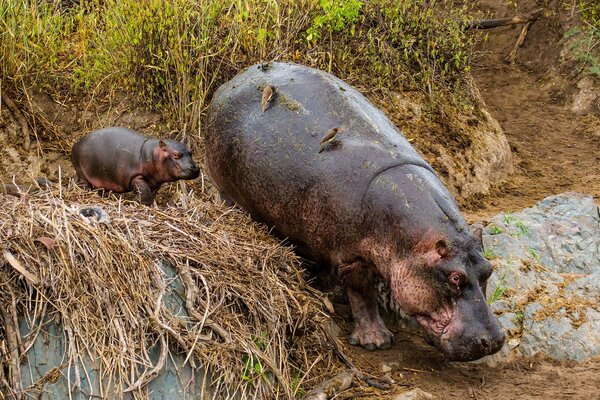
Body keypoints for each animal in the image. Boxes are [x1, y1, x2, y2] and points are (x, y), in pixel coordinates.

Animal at [71, 126, 200, 205]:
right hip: (82, 173)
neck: (152, 154)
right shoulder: (136, 177)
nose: (195, 168)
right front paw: (136, 202)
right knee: (84, 185)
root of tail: (76, 143)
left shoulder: (155, 182)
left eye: (191, 151)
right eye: (175, 154)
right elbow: (144, 192)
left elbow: (151, 195)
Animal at [204, 62, 504, 362]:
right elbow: (362, 294)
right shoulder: (352, 257)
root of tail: (232, 81)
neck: (415, 244)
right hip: (227, 192)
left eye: (488, 270)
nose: (494, 340)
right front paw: (377, 342)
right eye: (455, 277)